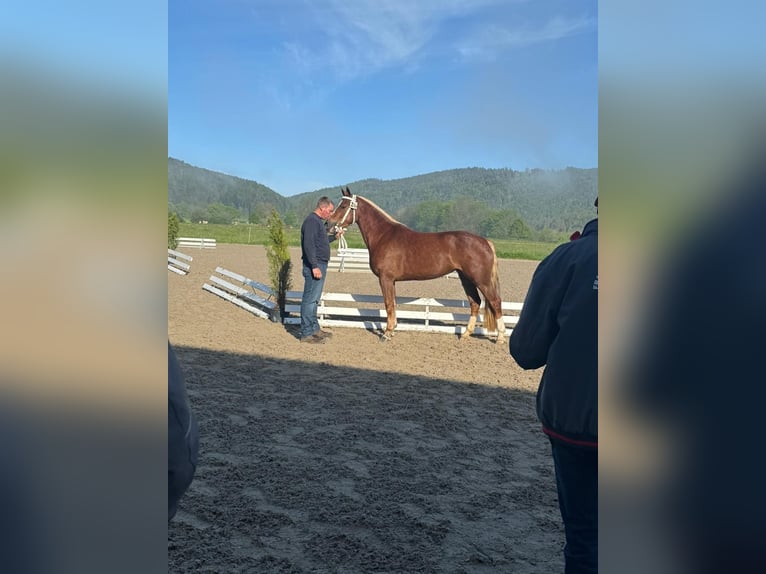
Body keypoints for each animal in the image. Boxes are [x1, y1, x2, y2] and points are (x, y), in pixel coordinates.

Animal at [328, 187, 508, 344]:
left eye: (343, 206)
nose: (328, 224)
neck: (383, 235)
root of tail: (485, 241)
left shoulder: (385, 279)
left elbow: (388, 304)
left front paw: (386, 334)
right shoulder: (391, 281)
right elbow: (393, 303)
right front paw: (392, 330)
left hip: (481, 280)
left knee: (495, 302)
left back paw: (500, 338)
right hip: (466, 279)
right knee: (475, 302)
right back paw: (465, 334)